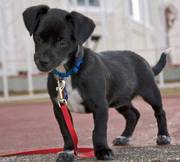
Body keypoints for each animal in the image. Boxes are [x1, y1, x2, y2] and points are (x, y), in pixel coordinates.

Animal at [22, 4, 170, 161]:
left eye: (62, 42)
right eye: (38, 38)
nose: (42, 62)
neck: (68, 72)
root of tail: (146, 62)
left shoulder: (100, 105)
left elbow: (98, 130)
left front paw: (102, 150)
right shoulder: (59, 107)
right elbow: (66, 131)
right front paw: (68, 151)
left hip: (150, 92)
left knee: (159, 112)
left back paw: (163, 136)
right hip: (120, 100)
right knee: (133, 115)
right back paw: (124, 137)